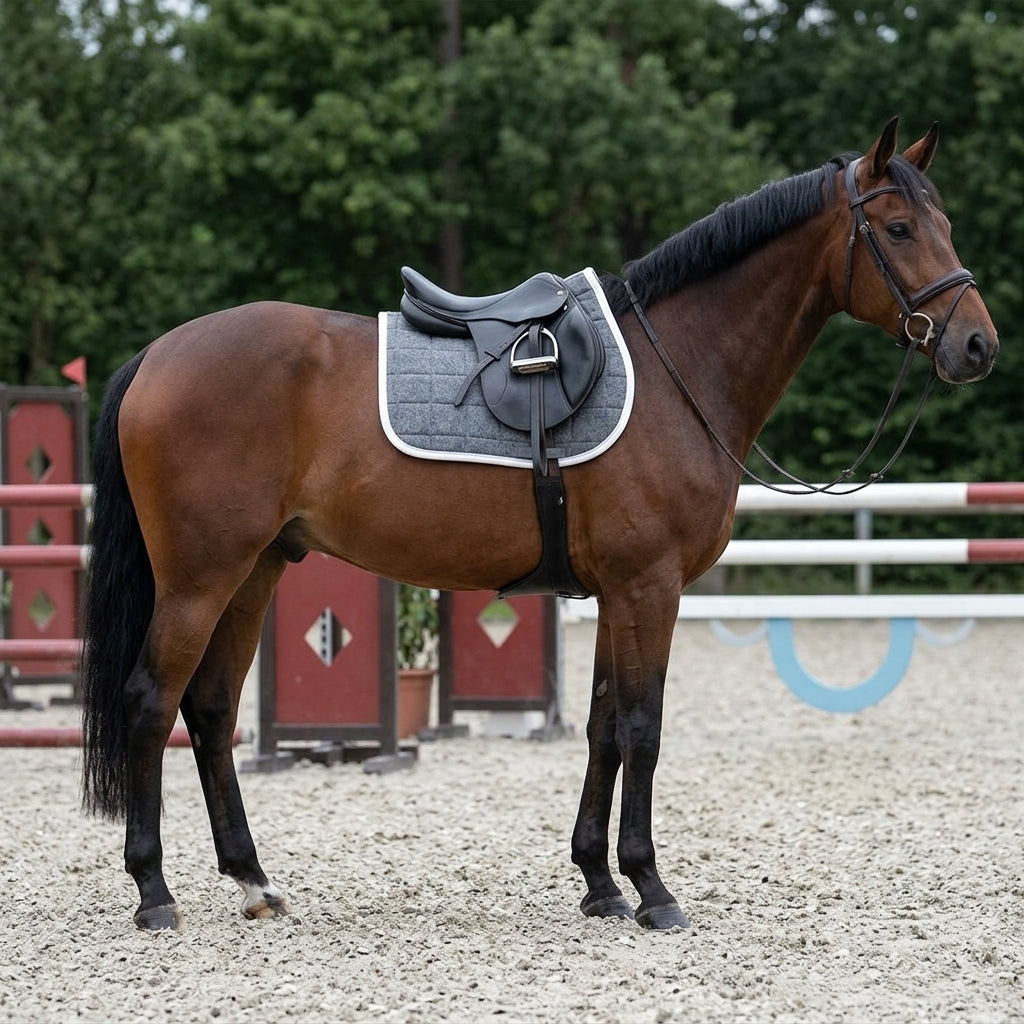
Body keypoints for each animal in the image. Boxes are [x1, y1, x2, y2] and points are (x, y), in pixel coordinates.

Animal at [80, 117, 997, 933]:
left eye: (947, 224)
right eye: (899, 228)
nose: (978, 347)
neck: (677, 367)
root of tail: (156, 356)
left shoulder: (615, 595)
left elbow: (601, 729)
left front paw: (599, 881)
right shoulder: (648, 588)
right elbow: (641, 729)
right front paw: (652, 889)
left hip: (256, 570)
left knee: (209, 710)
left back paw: (254, 882)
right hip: (201, 578)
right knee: (151, 702)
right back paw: (154, 893)